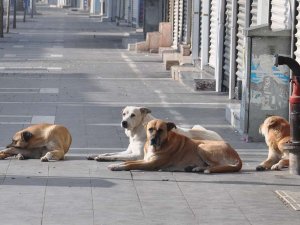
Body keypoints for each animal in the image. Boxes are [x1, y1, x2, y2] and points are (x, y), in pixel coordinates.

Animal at [86, 106, 223, 162]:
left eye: (133, 115)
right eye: (124, 114)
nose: (123, 122)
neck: (137, 131)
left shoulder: (137, 155)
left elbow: (115, 156)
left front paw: (103, 158)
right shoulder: (128, 151)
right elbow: (110, 153)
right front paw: (96, 155)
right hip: (196, 126)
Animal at [108, 119, 241, 174]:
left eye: (160, 130)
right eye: (150, 129)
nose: (152, 140)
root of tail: (237, 156)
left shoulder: (150, 164)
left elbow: (130, 165)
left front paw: (117, 167)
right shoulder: (145, 160)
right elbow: (127, 162)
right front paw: (117, 164)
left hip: (202, 147)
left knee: (217, 165)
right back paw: (195, 168)